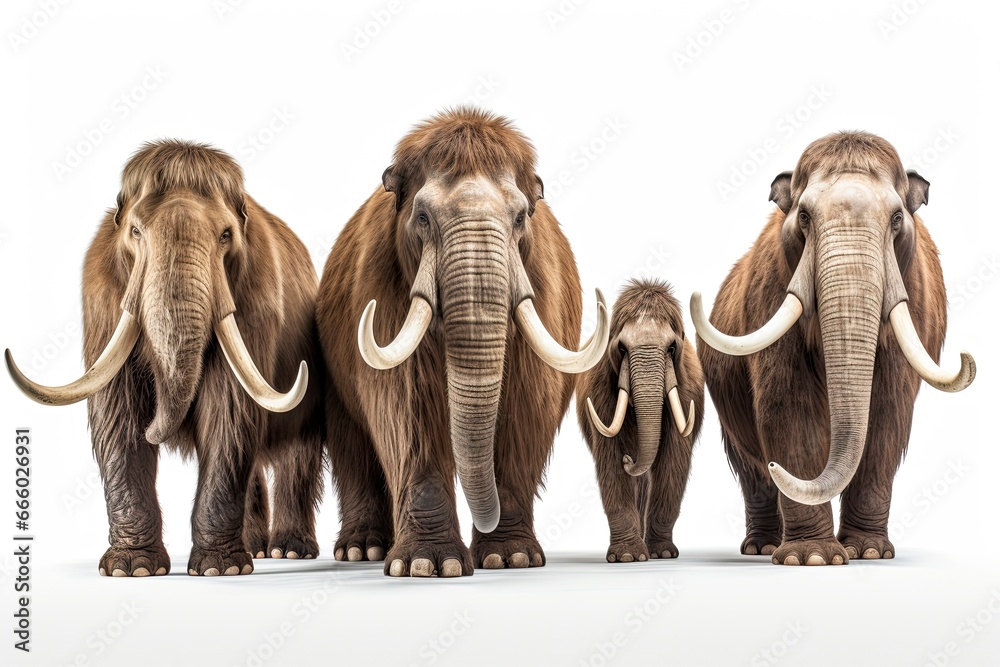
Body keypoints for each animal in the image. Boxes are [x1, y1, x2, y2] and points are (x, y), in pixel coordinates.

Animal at [5, 140, 324, 576]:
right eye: (136, 231)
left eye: (226, 235)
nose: (156, 429)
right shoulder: (102, 300)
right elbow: (116, 414)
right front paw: (132, 569)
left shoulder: (257, 303)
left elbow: (228, 413)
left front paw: (219, 570)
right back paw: (257, 550)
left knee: (297, 451)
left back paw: (288, 552)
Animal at [316, 107, 609, 577]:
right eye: (422, 218)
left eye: (521, 218)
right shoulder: (381, 284)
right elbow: (407, 408)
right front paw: (427, 565)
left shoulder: (544, 290)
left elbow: (528, 406)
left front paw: (509, 558)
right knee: (353, 442)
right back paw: (363, 551)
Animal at [577, 280, 704, 563]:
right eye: (621, 348)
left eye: (671, 348)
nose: (629, 459)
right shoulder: (601, 394)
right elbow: (610, 461)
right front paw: (627, 556)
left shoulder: (687, 393)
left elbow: (673, 462)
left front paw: (662, 553)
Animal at [691, 131, 976, 566]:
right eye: (805, 218)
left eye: (897, 219)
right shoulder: (770, 294)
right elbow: (789, 408)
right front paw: (810, 557)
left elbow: (888, 415)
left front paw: (868, 552)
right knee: (749, 467)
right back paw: (763, 547)